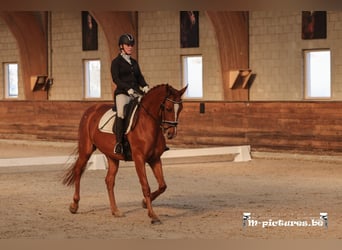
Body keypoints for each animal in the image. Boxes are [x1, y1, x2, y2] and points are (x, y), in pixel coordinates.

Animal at [62, 83, 188, 224]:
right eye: (168, 108)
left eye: (180, 108)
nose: (171, 133)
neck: (147, 124)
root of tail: (91, 109)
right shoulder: (139, 159)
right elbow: (146, 186)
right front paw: (152, 215)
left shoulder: (155, 159)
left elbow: (162, 185)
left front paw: (144, 203)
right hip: (86, 149)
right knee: (78, 171)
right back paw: (74, 205)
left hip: (112, 157)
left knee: (109, 181)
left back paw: (115, 211)